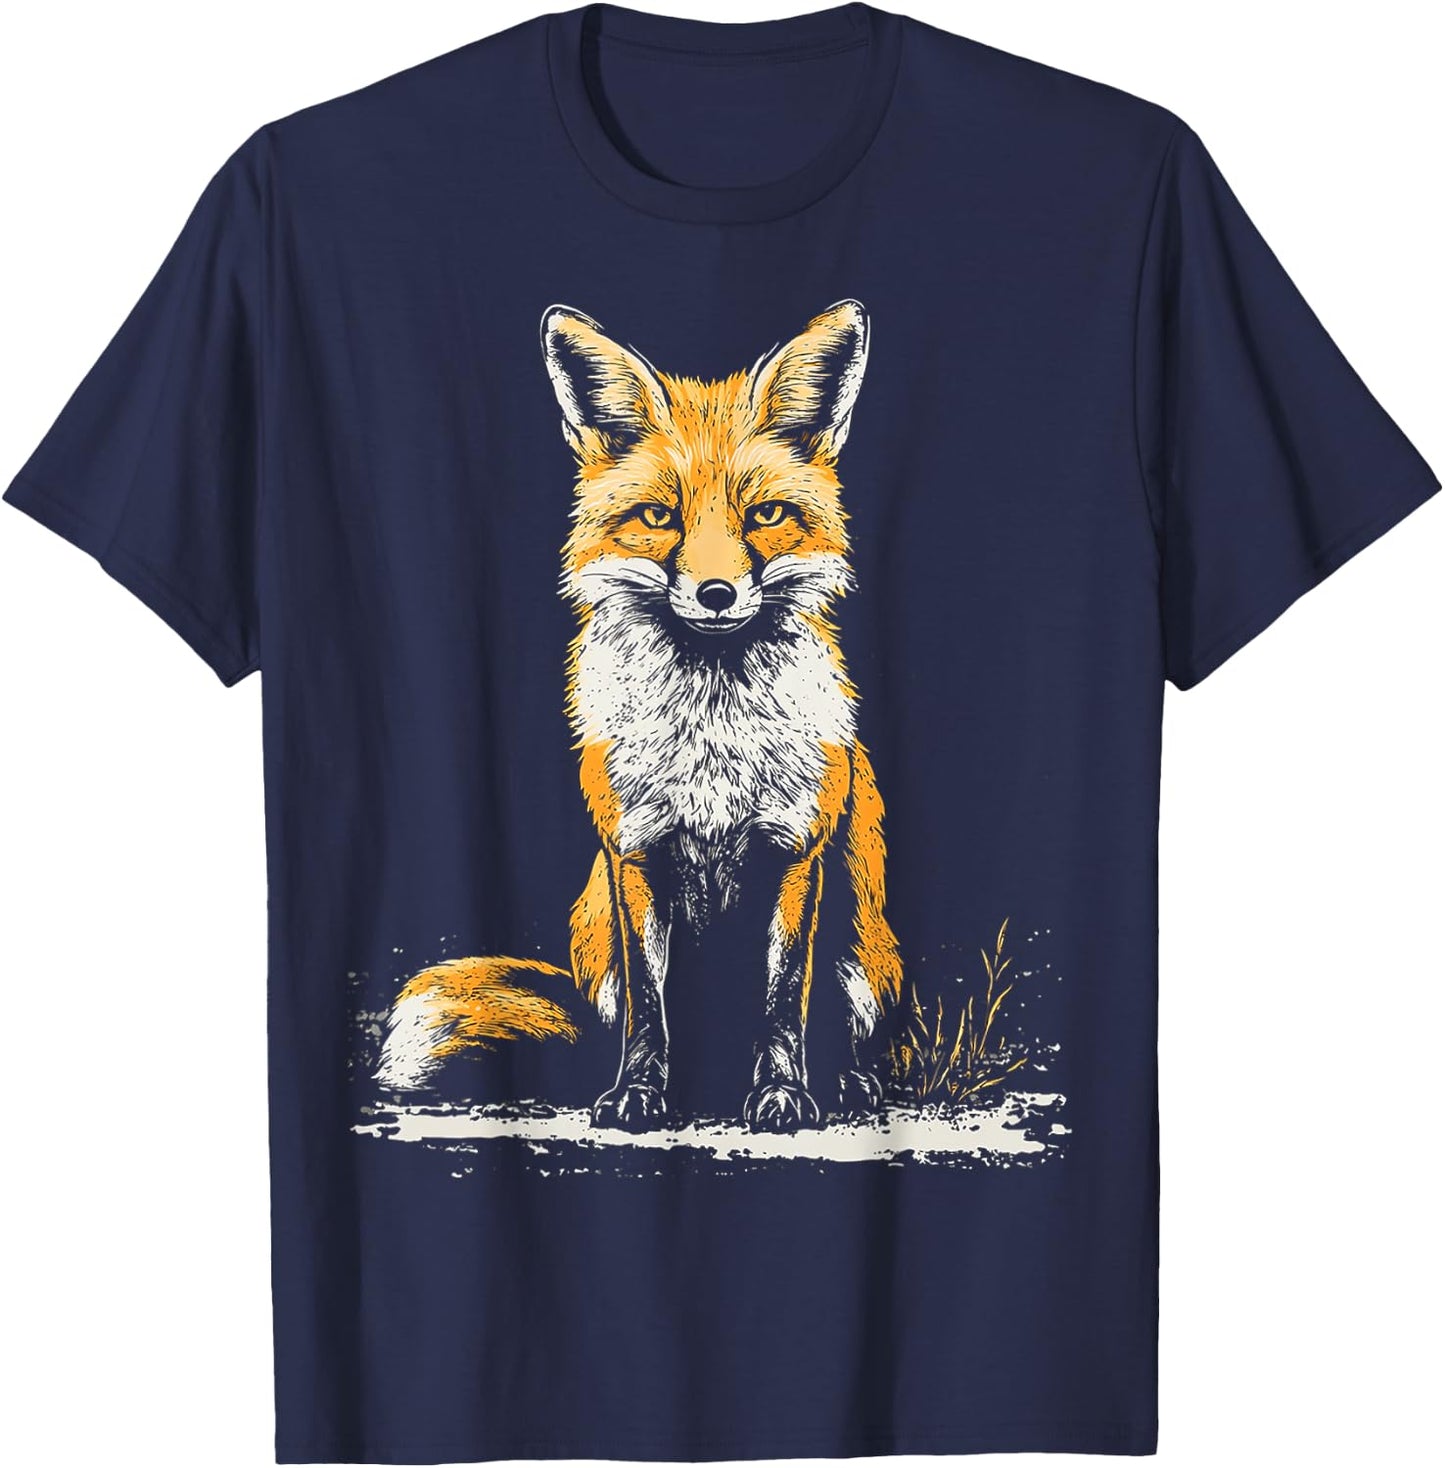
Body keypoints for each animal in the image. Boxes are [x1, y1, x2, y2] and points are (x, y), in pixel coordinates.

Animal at [375, 300, 902, 1133]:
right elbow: (651, 1007)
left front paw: (784, 1092)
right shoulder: (635, 855)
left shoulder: (794, 854)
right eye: (658, 516)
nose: (717, 594)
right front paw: (638, 1094)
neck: (713, 749)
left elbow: (783, 998)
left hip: (866, 945)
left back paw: (849, 1082)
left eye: (766, 516)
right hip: (593, 929)